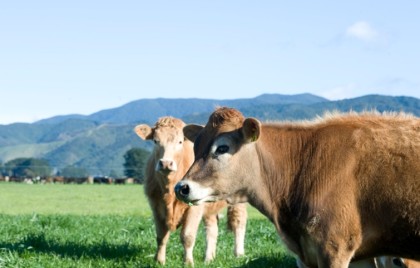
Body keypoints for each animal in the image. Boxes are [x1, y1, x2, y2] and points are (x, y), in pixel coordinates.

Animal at [135, 116, 248, 264]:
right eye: (155, 141)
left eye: (180, 141)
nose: (166, 163)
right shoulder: (156, 205)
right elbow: (161, 236)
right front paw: (159, 261)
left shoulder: (195, 208)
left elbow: (187, 236)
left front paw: (188, 262)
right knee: (212, 228)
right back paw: (209, 258)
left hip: (239, 200)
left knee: (238, 221)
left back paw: (238, 254)